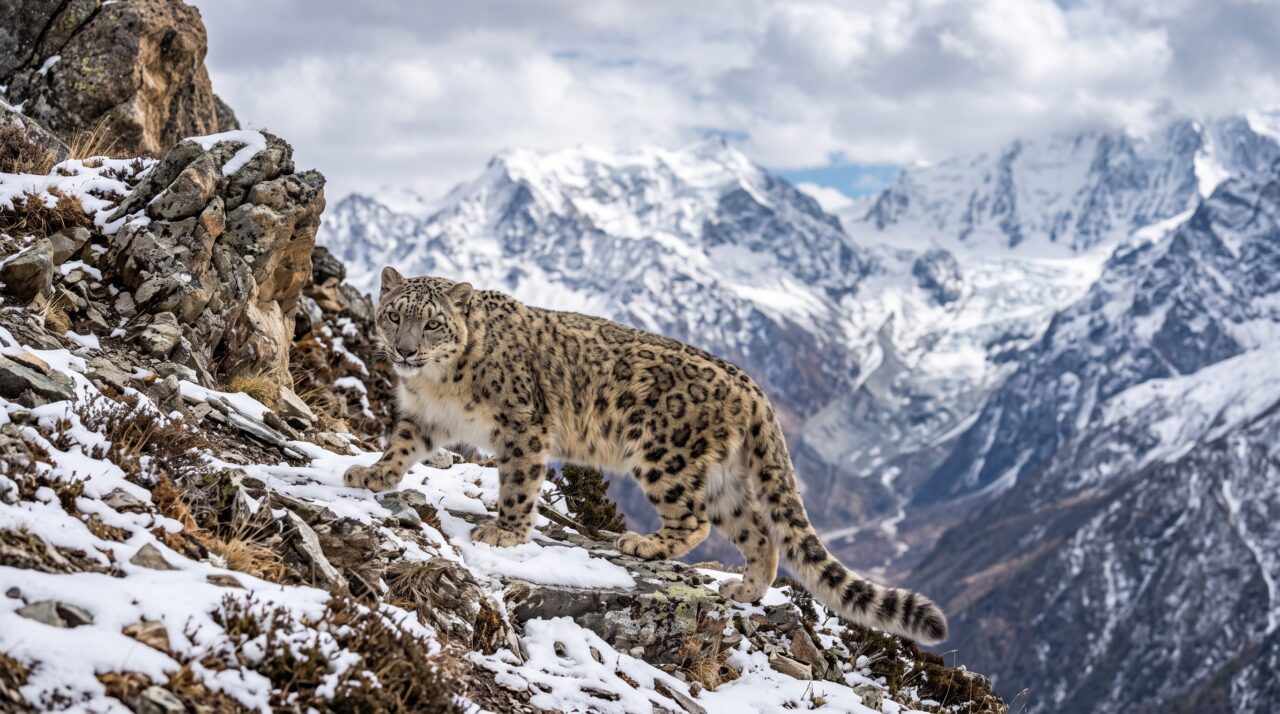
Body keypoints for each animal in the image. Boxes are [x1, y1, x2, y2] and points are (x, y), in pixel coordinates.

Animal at [344, 267, 947, 644]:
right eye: (395, 315)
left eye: (433, 321)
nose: (405, 350)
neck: (438, 385)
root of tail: (753, 387)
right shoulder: (423, 417)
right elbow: (399, 446)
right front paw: (370, 474)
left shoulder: (522, 427)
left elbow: (518, 483)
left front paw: (505, 531)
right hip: (724, 480)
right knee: (759, 530)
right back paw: (745, 588)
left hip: (665, 455)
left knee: (696, 521)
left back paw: (645, 543)